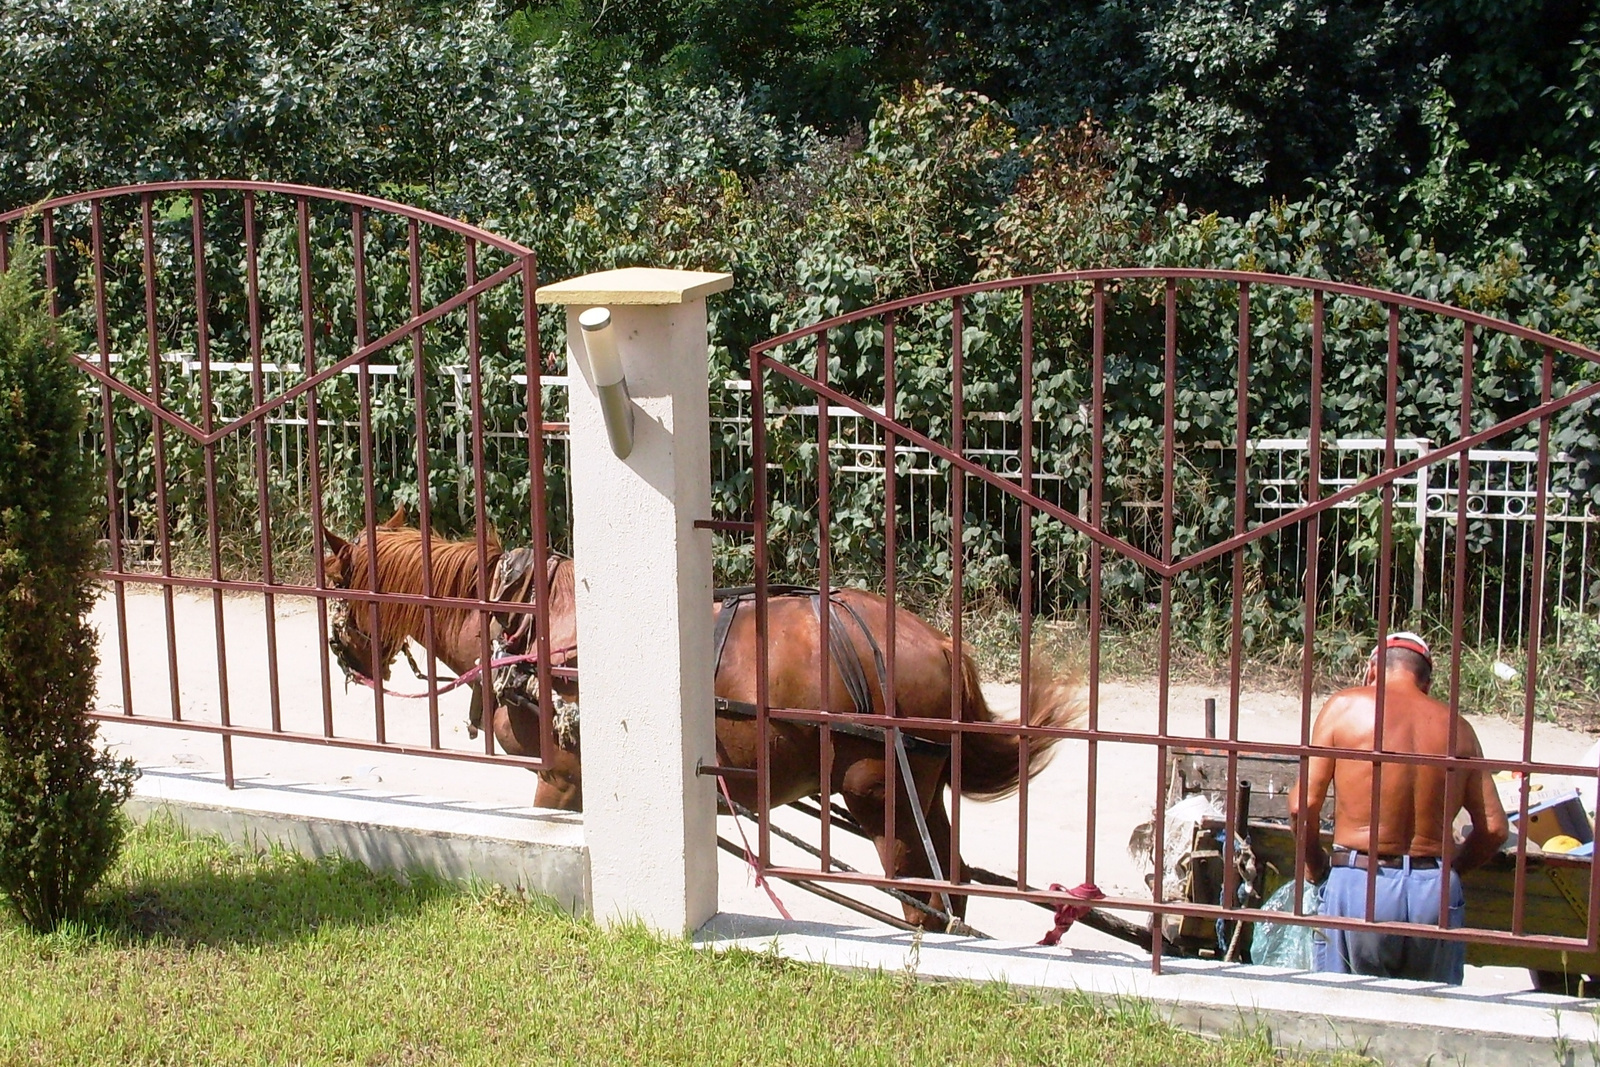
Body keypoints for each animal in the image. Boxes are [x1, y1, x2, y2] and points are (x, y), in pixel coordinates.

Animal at [321, 521, 1088, 921]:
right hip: (924, 793)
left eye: (334, 581)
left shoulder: (561, 777)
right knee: (950, 878)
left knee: (922, 894)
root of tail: (940, 643)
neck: (530, 618)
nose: (342, 655)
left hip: (880, 794)